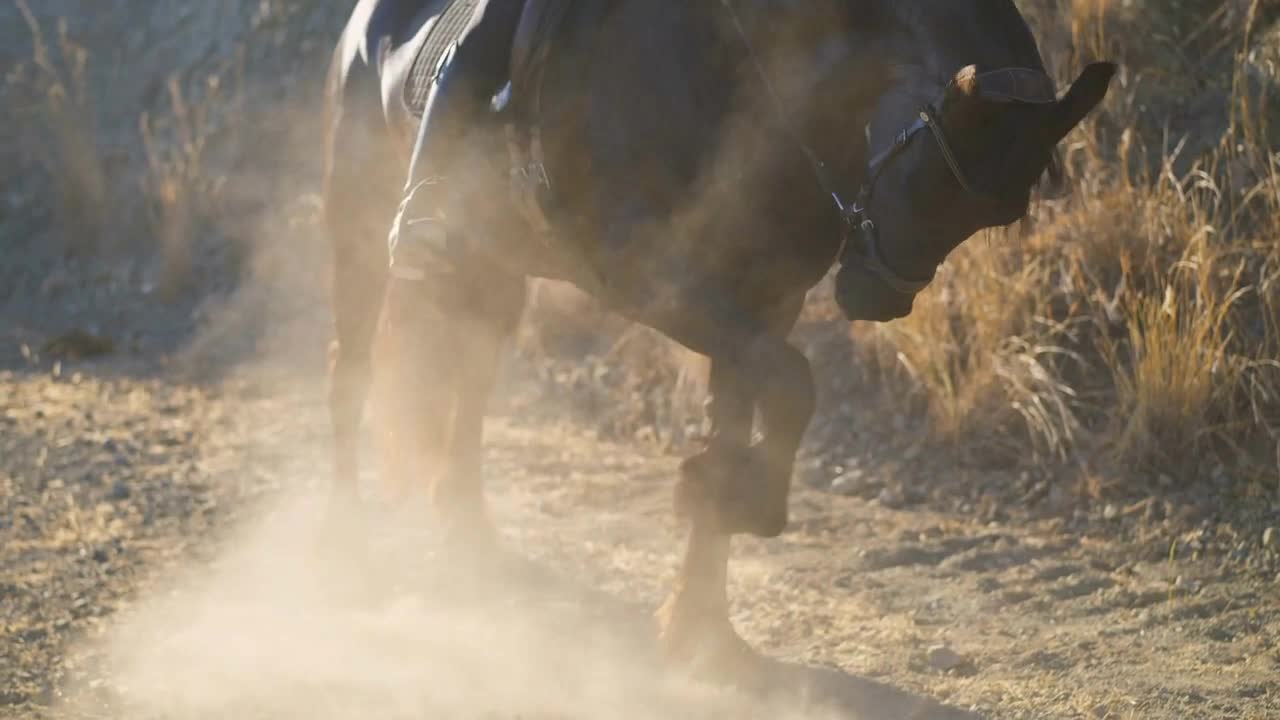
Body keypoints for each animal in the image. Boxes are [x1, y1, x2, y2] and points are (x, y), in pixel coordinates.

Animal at [325, 0, 1116, 676]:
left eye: (996, 214)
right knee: (353, 368)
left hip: (494, 267)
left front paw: (703, 620)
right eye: (935, 180)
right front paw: (726, 500)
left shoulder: (762, 299)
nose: (879, 298)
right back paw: (348, 544)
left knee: (470, 381)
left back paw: (468, 536)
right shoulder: (647, 274)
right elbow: (793, 383)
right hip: (361, 224)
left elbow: (751, 410)